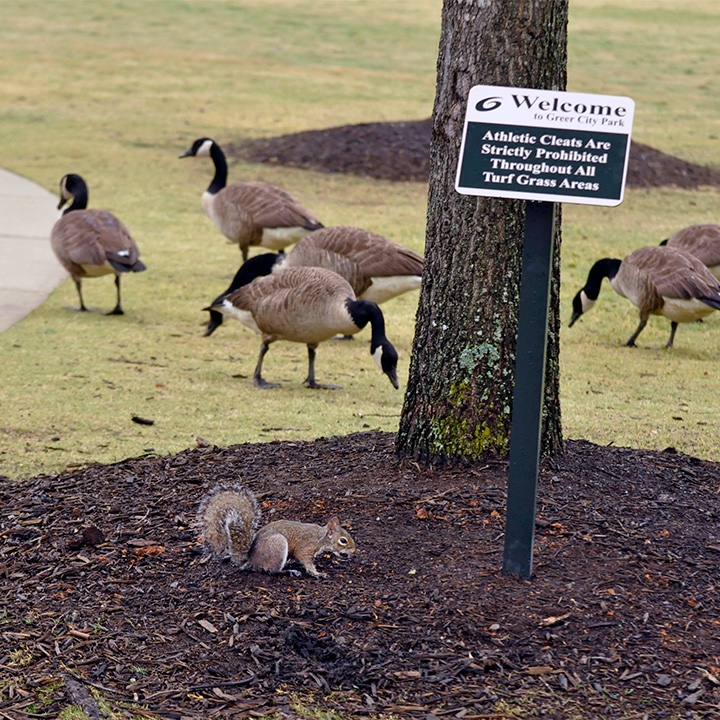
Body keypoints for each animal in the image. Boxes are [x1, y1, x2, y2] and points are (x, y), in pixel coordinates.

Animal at [197, 484, 356, 578]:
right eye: (343, 540)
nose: (354, 551)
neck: (321, 538)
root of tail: (251, 558)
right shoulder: (306, 547)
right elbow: (305, 559)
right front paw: (317, 573)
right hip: (278, 546)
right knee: (272, 570)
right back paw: (289, 571)